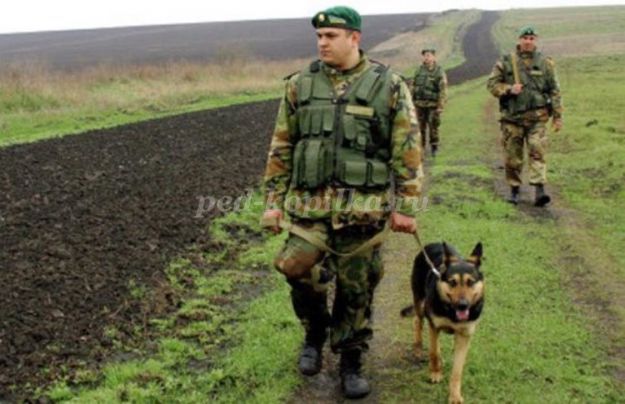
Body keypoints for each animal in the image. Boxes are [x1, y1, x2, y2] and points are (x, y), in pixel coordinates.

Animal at [400, 242, 484, 404]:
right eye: (452, 282)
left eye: (470, 282)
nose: (463, 305)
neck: (451, 310)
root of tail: (432, 244)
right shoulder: (434, 326)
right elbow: (433, 352)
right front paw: (435, 373)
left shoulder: (464, 336)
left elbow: (457, 370)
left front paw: (455, 395)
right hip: (420, 302)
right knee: (417, 321)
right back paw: (418, 349)